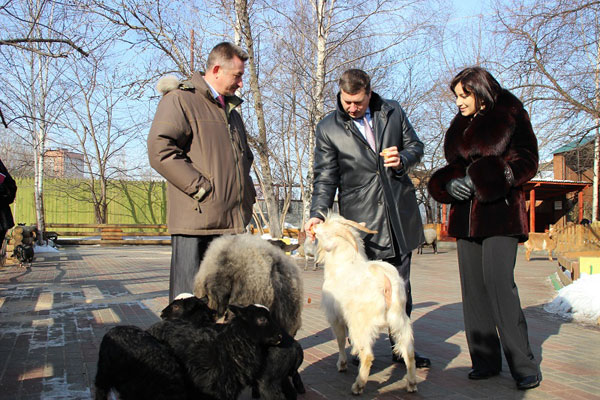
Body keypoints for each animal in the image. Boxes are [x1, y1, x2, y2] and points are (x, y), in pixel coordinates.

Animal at [314, 214, 418, 396]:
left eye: (325, 231)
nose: (313, 227)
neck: (344, 263)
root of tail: (385, 280)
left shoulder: (336, 317)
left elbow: (340, 340)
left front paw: (342, 364)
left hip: (361, 324)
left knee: (368, 355)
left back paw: (358, 386)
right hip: (400, 319)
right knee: (409, 350)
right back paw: (411, 383)